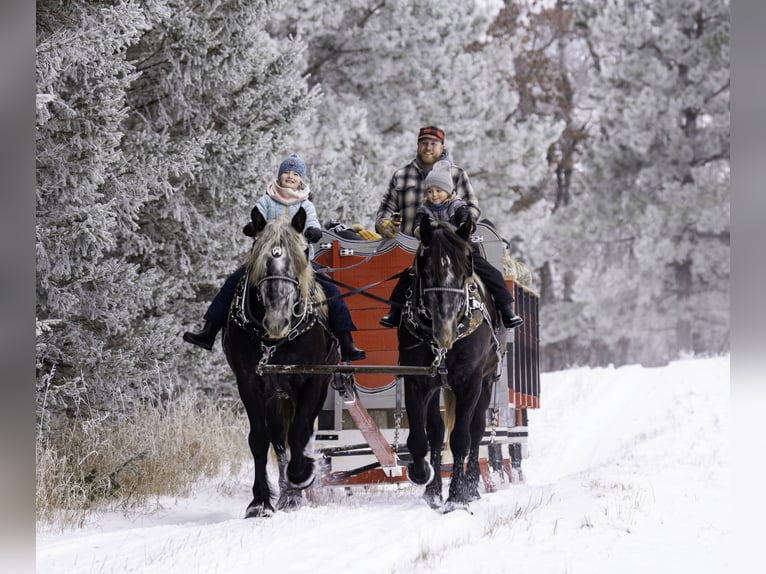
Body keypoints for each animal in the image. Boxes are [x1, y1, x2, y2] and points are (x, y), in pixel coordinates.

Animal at [224, 209, 340, 520]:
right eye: (258, 252)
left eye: (303, 252)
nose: (277, 320)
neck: (275, 340)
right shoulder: (249, 382)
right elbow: (259, 438)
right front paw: (260, 501)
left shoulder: (312, 380)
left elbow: (300, 432)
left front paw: (301, 476)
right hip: (276, 395)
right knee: (278, 438)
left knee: (300, 431)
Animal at [400, 218, 508, 516]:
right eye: (426, 269)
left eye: (465, 266)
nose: (445, 331)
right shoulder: (416, 381)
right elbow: (421, 437)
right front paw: (423, 476)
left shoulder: (470, 382)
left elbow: (462, 437)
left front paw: (458, 496)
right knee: (437, 433)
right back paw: (434, 490)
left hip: (486, 382)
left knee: (476, 430)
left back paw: (470, 486)